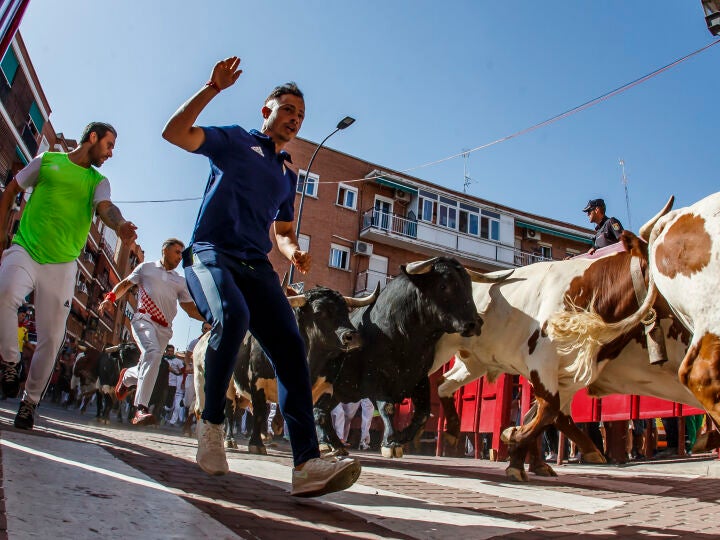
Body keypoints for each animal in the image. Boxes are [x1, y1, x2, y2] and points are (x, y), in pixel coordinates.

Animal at [312, 255, 480, 458]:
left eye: (468, 284)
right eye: (443, 285)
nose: (475, 323)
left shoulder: (419, 378)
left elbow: (423, 412)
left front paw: (403, 437)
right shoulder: (375, 378)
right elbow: (388, 407)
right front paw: (391, 442)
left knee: (321, 411)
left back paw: (335, 445)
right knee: (319, 412)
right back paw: (328, 444)